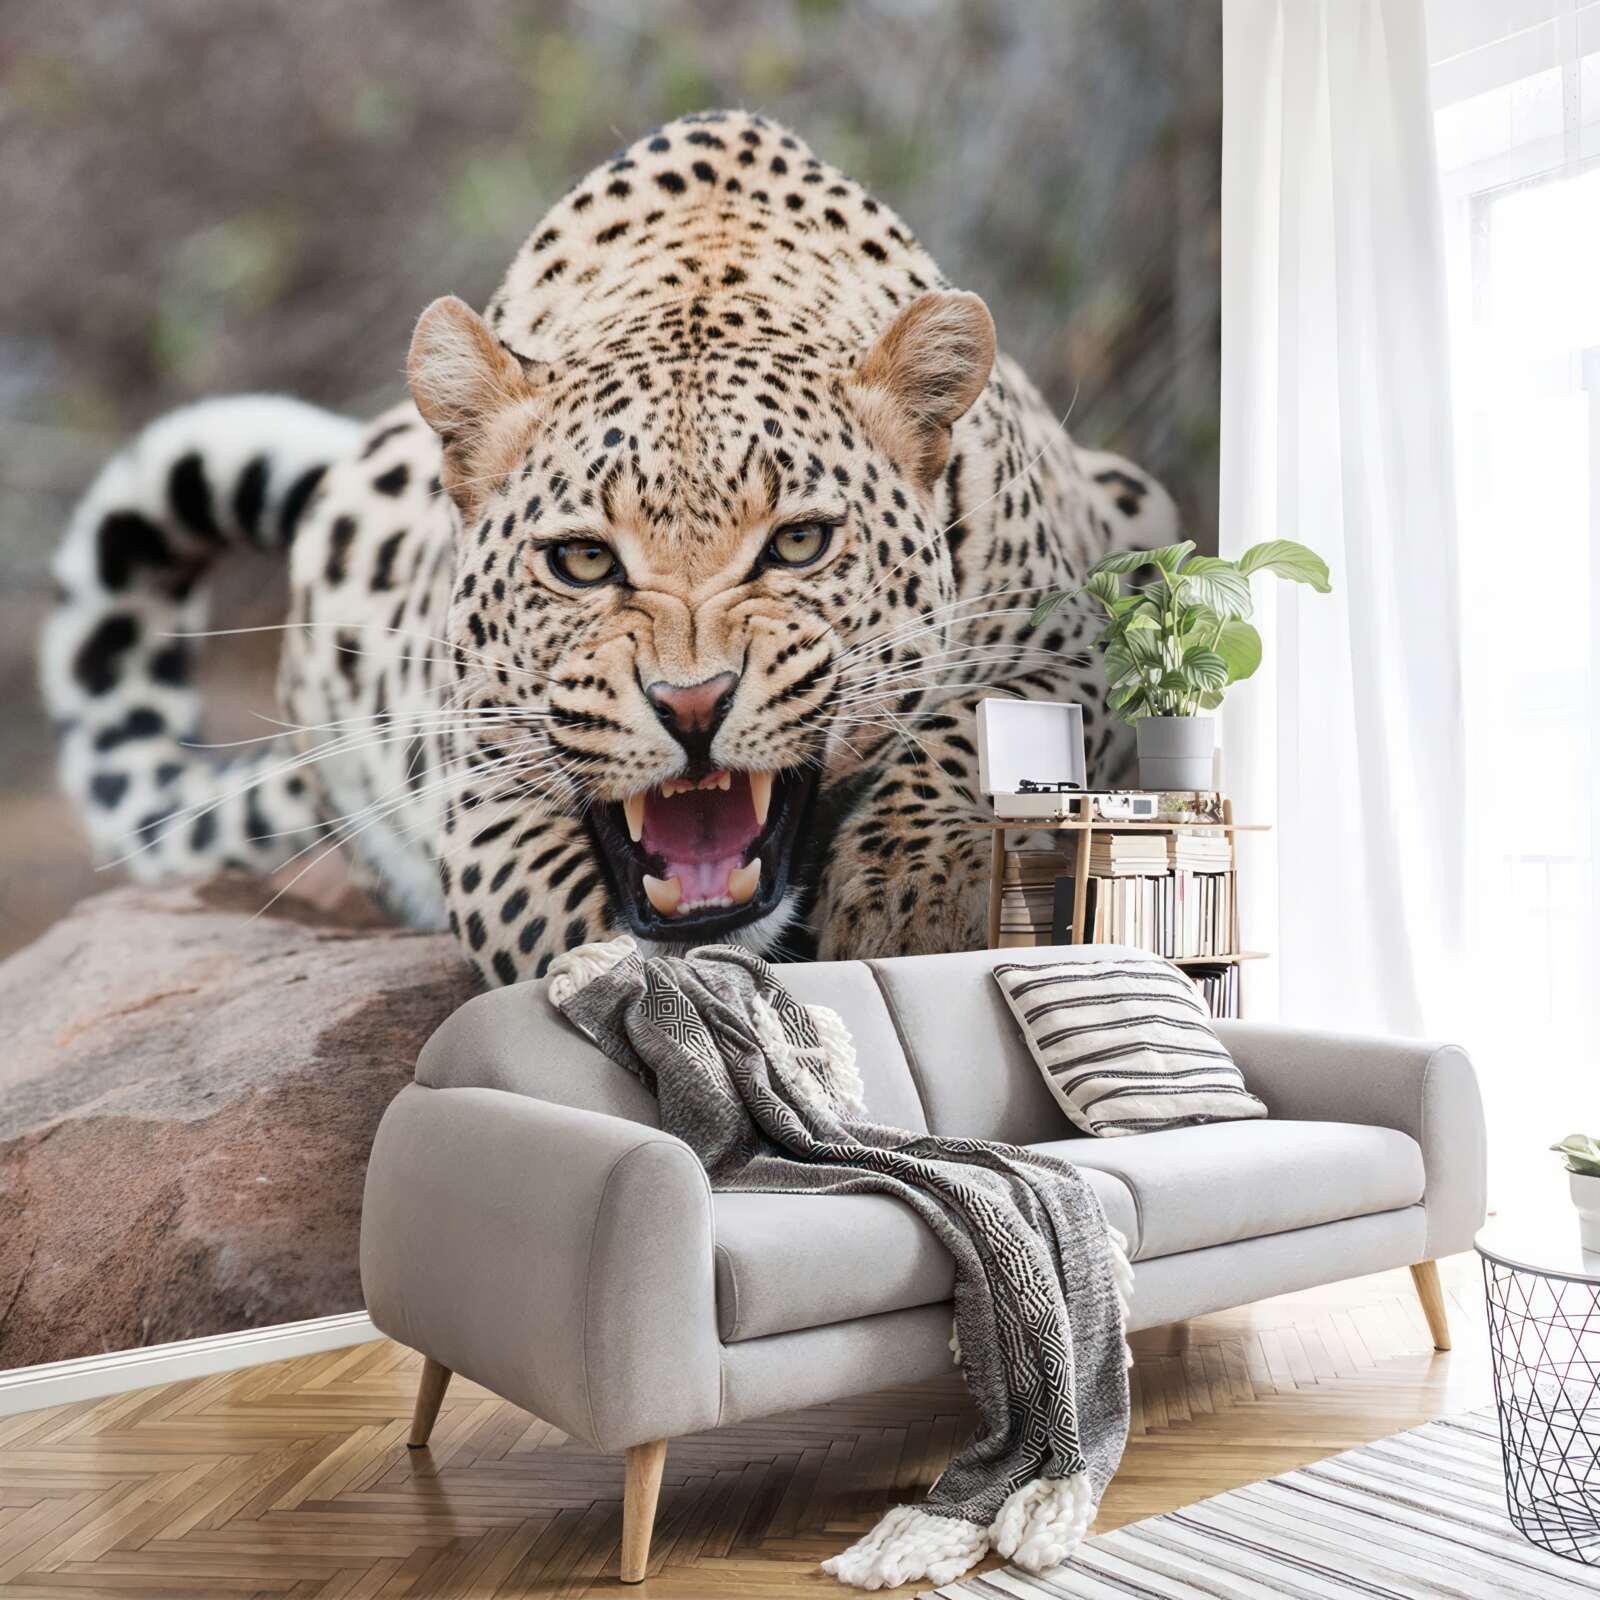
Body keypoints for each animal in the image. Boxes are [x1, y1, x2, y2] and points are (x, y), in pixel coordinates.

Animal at [41, 110, 1177, 986]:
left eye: (800, 544)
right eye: (583, 561)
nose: (693, 705)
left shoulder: (1090, 616)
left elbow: (981, 726)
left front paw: (917, 890)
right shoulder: (481, 799)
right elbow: (571, 927)